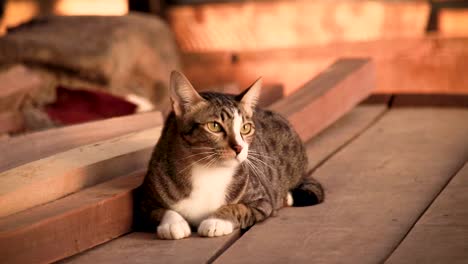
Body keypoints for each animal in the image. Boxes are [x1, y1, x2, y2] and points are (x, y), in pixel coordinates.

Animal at [137, 71, 324, 240]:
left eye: (245, 128)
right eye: (214, 126)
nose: (239, 148)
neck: (207, 170)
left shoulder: (263, 200)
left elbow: (239, 208)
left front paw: (216, 221)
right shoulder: (145, 203)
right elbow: (161, 211)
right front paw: (173, 224)